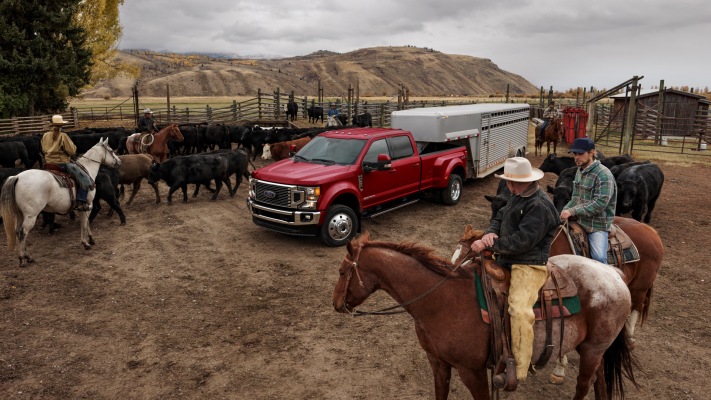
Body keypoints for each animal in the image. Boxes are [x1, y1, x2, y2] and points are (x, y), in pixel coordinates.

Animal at [1, 139, 122, 268]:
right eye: (111, 151)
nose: (119, 162)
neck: (87, 169)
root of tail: (17, 177)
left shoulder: (82, 208)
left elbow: (86, 223)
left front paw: (90, 239)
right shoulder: (88, 205)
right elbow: (85, 223)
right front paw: (86, 243)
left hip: (20, 214)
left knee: (18, 232)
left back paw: (27, 257)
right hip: (30, 215)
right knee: (23, 233)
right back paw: (23, 259)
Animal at [336, 231, 640, 400]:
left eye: (341, 272)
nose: (336, 303)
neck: (440, 300)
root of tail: (613, 273)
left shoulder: (472, 371)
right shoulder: (438, 363)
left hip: (593, 349)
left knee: (583, 385)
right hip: (593, 350)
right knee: (599, 382)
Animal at [454, 219, 664, 384]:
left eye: (471, 256)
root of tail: (651, 231)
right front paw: (559, 367)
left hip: (639, 289)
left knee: (635, 310)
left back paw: (630, 339)